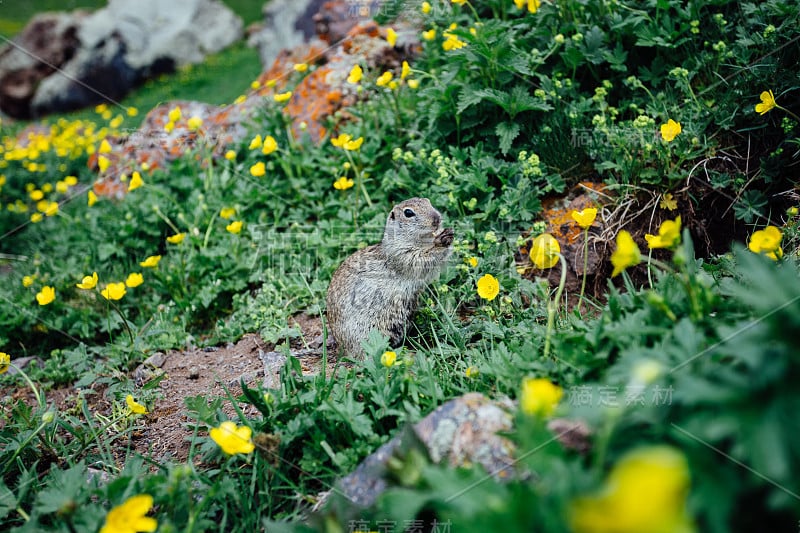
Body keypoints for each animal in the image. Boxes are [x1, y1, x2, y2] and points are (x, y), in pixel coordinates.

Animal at [324, 198, 450, 358]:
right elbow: (422, 260)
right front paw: (442, 240)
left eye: (428, 202)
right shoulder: (402, 256)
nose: (437, 219)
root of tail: (343, 349)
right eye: (408, 212)